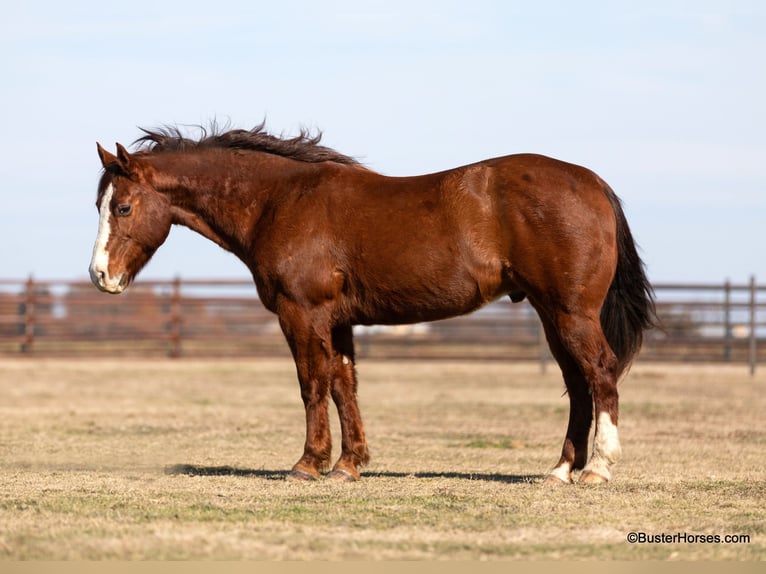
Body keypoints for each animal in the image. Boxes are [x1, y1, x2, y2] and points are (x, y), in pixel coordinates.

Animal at [89, 123, 655, 485]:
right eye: (99, 204)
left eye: (123, 207)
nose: (100, 276)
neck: (280, 201)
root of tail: (592, 183)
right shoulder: (338, 322)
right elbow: (344, 384)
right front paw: (348, 464)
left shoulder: (303, 313)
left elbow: (312, 384)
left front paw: (308, 464)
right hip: (550, 313)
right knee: (577, 384)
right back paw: (560, 471)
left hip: (571, 313)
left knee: (600, 372)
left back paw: (597, 469)